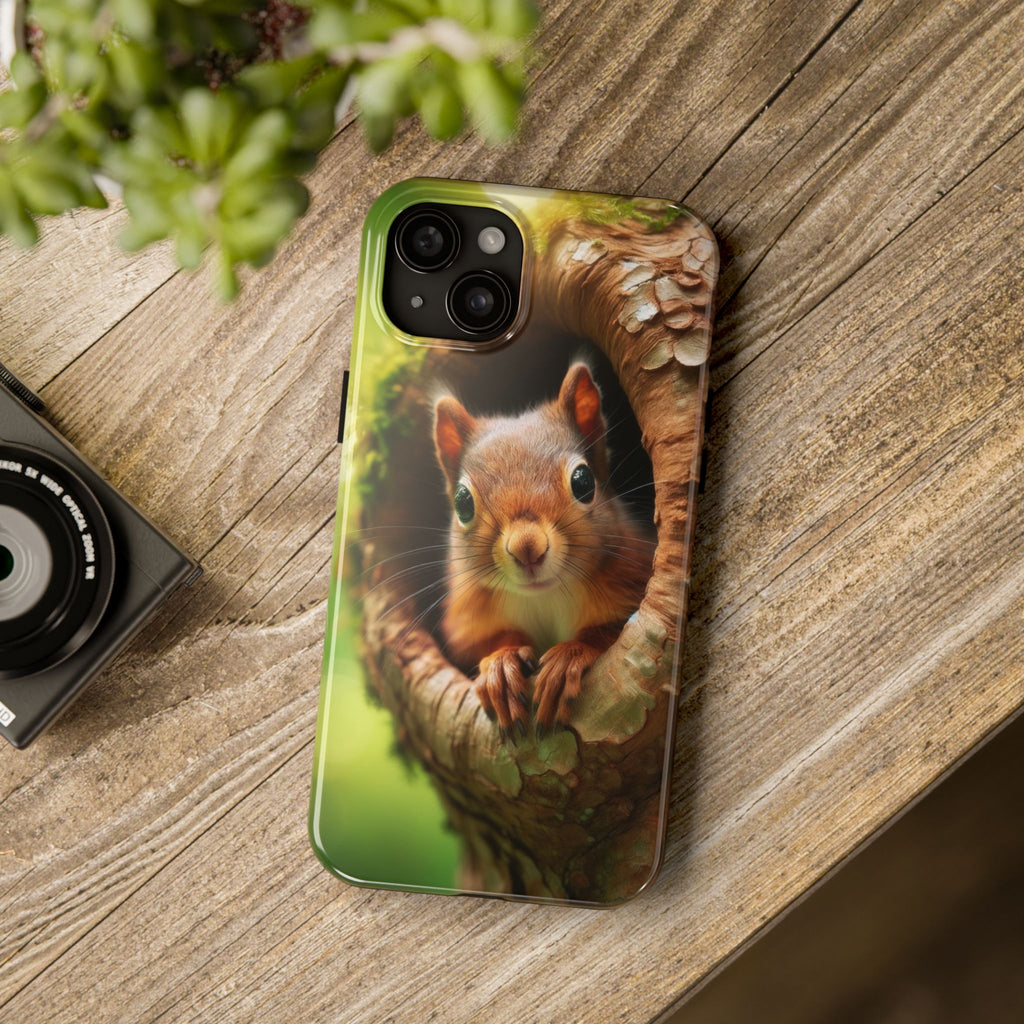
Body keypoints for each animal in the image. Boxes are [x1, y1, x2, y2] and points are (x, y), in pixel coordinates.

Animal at [432, 362, 653, 740]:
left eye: (583, 481)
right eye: (462, 503)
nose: (527, 547)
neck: (544, 597)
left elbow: (611, 630)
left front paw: (568, 658)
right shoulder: (469, 615)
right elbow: (483, 643)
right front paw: (501, 666)